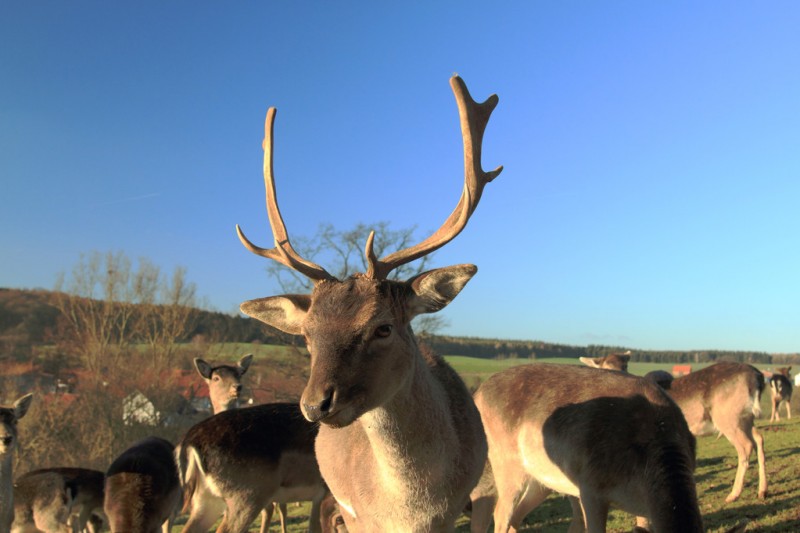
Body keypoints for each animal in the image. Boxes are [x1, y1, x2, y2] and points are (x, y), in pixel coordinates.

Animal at [234, 74, 500, 528]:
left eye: (383, 327)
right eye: (307, 336)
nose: (315, 404)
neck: (412, 510)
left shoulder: (455, 510)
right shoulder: (359, 515)